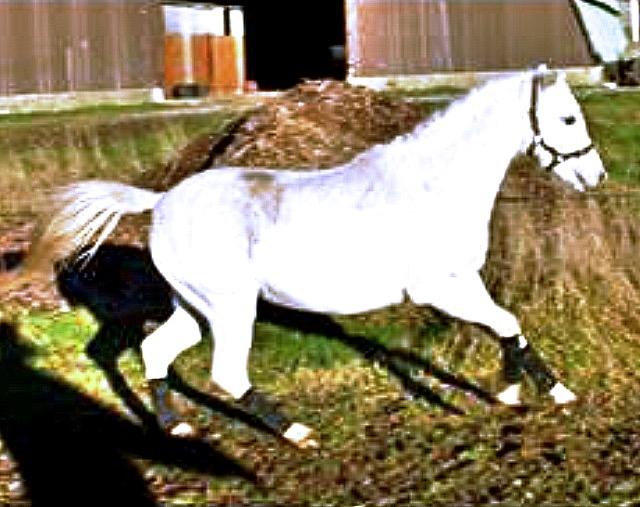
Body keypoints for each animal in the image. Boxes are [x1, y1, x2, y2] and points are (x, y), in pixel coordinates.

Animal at [1, 68, 606, 448]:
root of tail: (163, 200)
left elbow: (508, 325)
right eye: (568, 119)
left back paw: (176, 428)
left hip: (194, 310)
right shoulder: (438, 287)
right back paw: (295, 432)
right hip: (231, 309)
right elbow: (503, 323)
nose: (595, 177)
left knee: (153, 351)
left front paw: (528, 392)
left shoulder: (465, 281)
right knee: (226, 372)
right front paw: (535, 393)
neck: (432, 184)